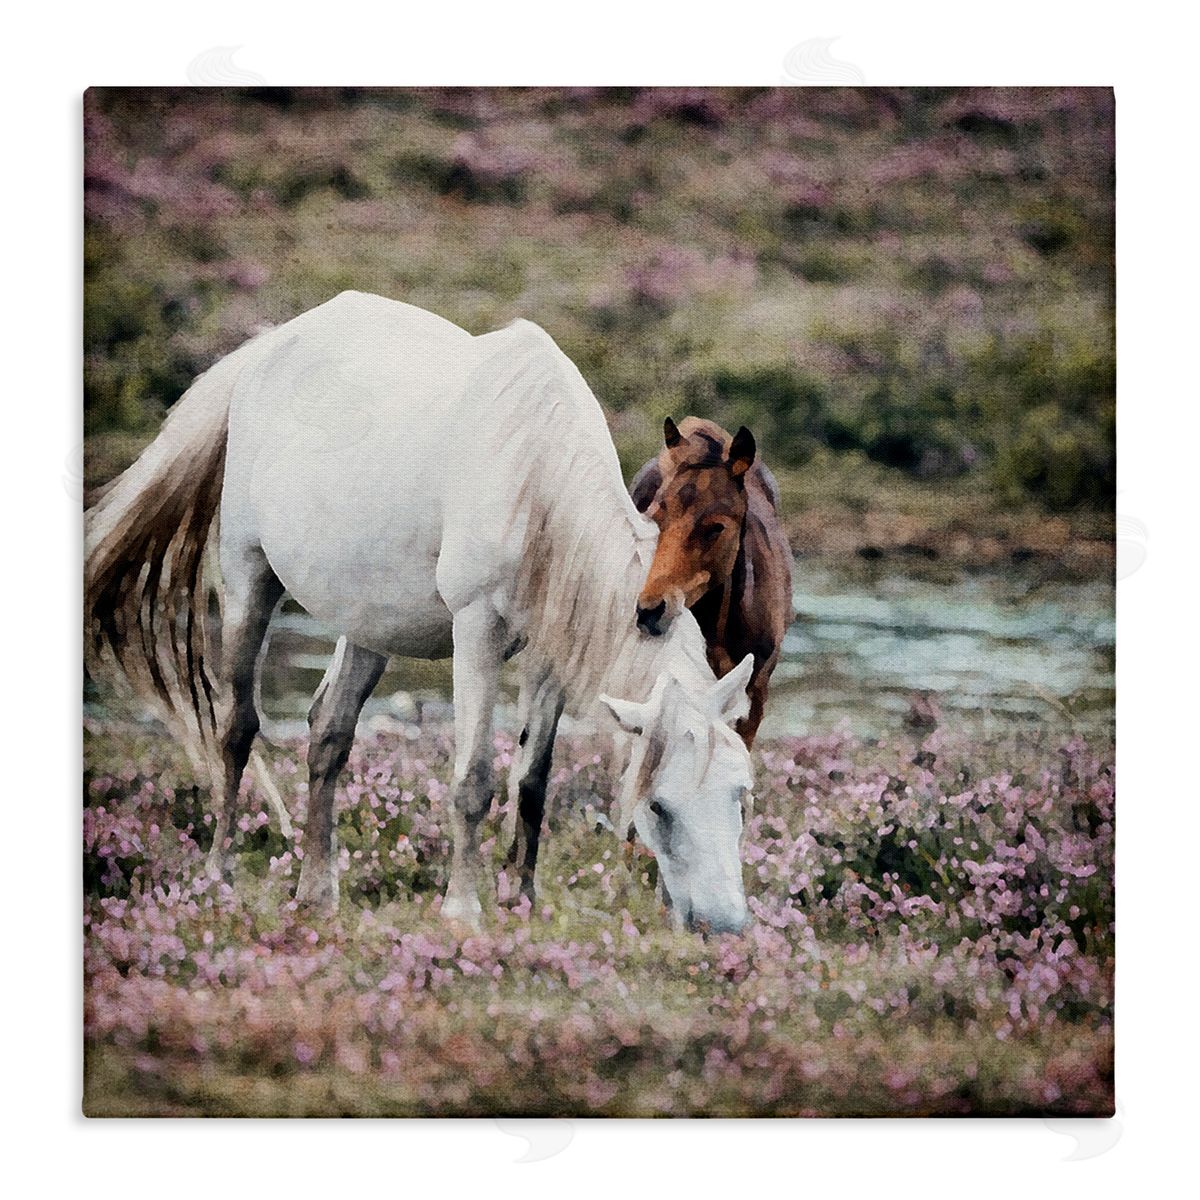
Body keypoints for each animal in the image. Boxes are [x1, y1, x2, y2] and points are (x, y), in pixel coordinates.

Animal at [85, 292, 754, 933]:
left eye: (740, 794)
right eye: (659, 806)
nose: (723, 925)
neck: (535, 479)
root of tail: (266, 348)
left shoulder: (551, 653)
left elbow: (532, 781)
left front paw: (524, 899)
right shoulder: (477, 630)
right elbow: (474, 778)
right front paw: (463, 909)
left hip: (369, 621)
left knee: (328, 732)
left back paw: (317, 891)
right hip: (249, 579)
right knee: (236, 729)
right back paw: (219, 875)